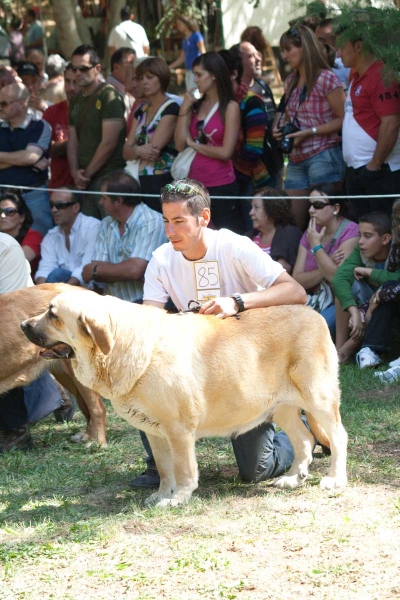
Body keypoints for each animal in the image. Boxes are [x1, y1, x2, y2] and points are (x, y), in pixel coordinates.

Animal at [22, 290, 346, 506]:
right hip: (282, 407)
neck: (118, 348)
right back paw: (292, 478)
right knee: (304, 439)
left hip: (318, 397)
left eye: (53, 314)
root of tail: (314, 314)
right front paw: (161, 495)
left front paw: (178, 498)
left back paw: (334, 479)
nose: (23, 325)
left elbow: (182, 468)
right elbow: (165, 469)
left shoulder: (178, 429)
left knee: (338, 436)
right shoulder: (155, 432)